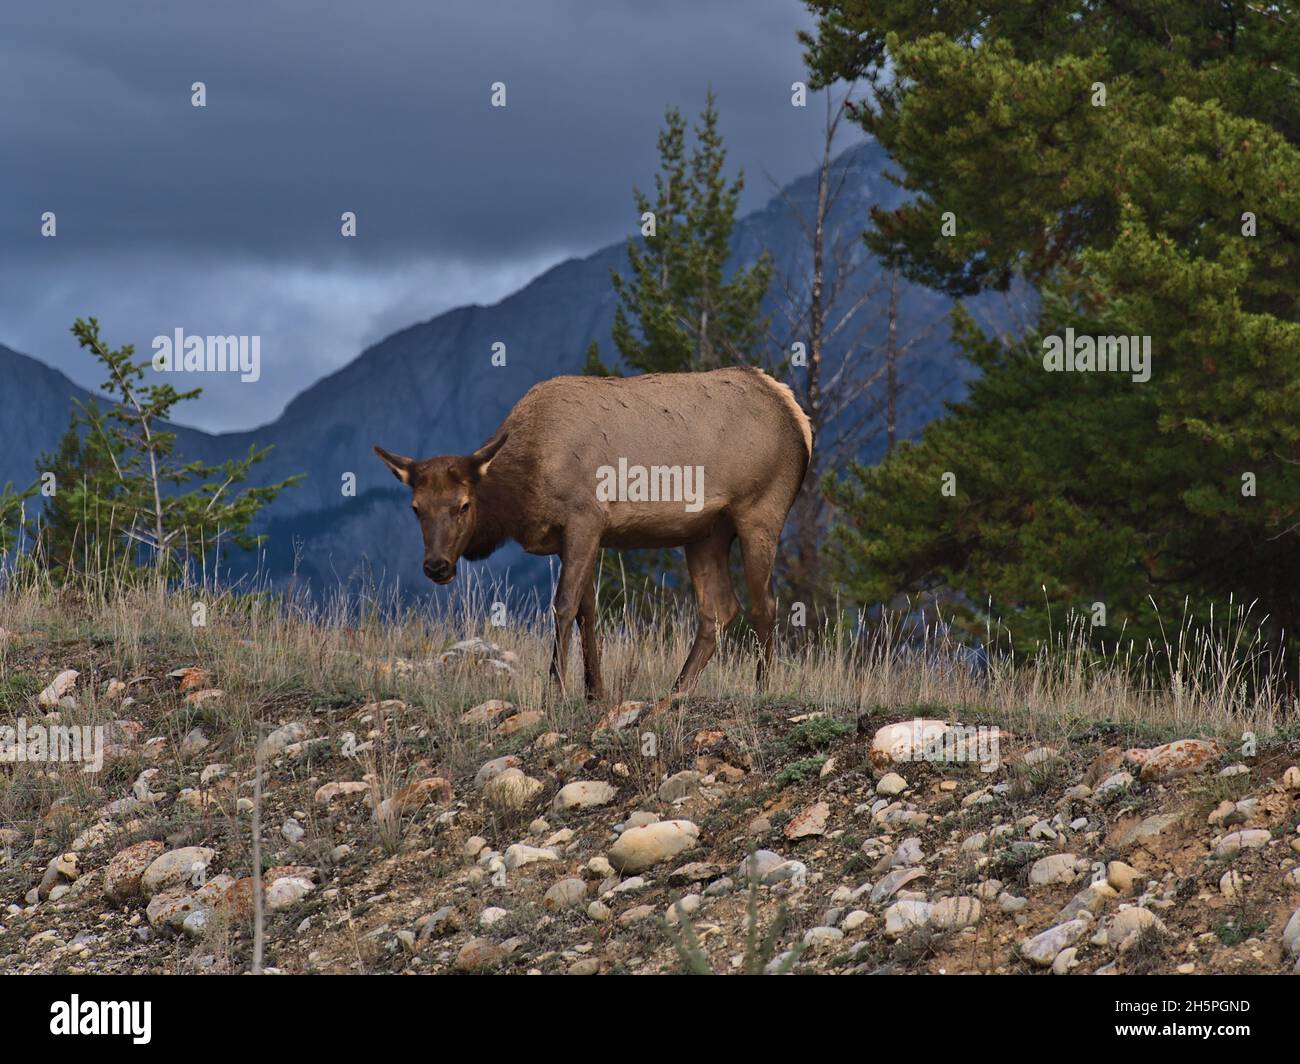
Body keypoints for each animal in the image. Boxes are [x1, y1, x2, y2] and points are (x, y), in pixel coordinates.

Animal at [371, 364, 811, 702]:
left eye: (463, 505)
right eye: (416, 508)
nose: (436, 566)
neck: (523, 489)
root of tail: (798, 416)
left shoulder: (585, 518)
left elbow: (563, 605)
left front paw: (556, 689)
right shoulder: (572, 537)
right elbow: (588, 611)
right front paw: (594, 691)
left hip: (760, 509)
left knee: (765, 603)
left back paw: (761, 689)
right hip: (705, 532)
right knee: (719, 608)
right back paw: (677, 690)